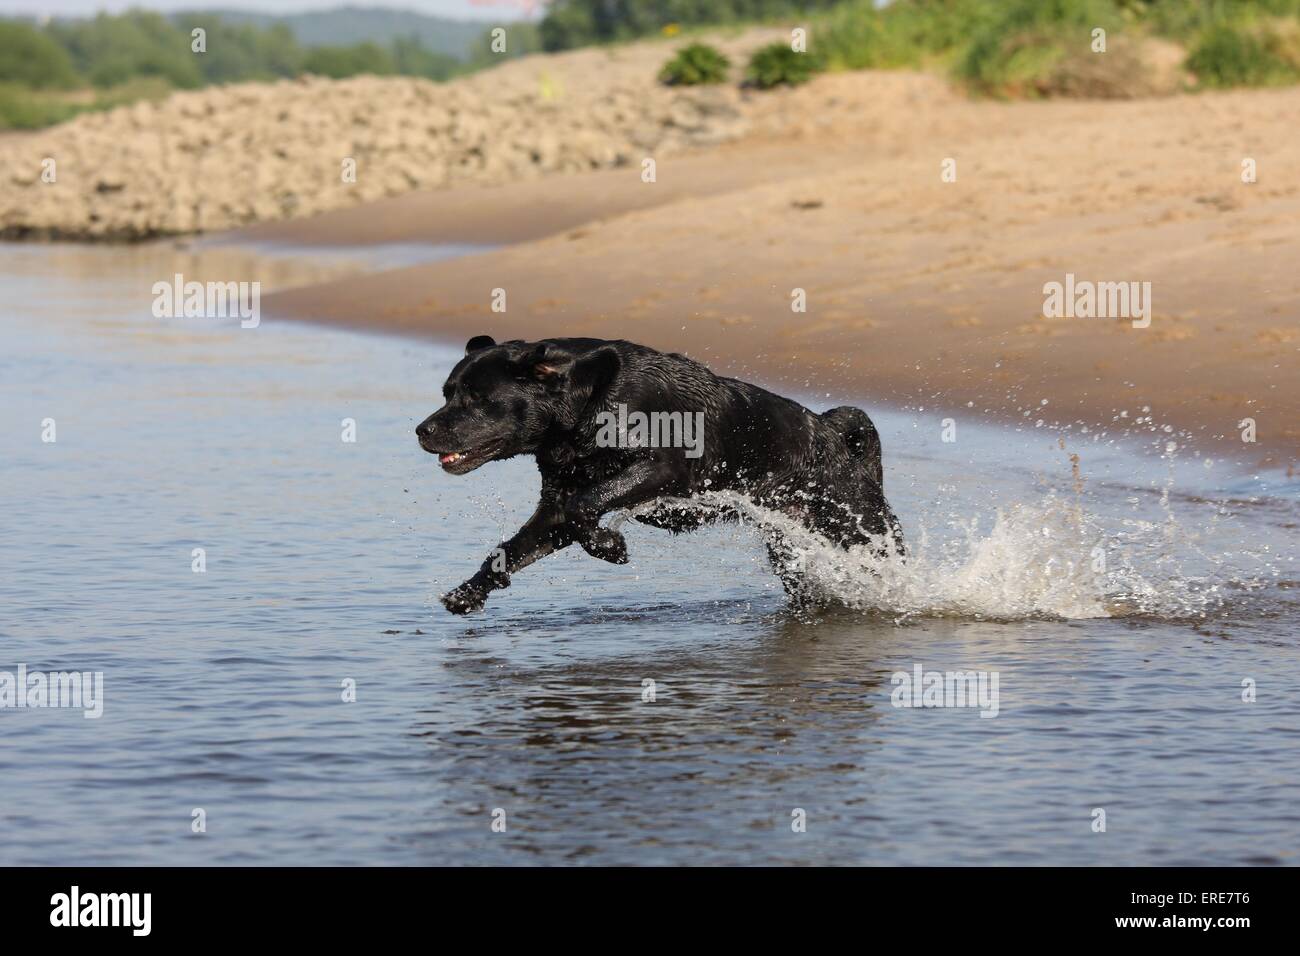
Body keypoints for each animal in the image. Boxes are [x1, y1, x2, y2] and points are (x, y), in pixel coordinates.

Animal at [416, 335, 904, 616]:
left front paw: (609, 546)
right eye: (447, 393)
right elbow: (515, 547)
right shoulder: (553, 509)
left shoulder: (662, 470)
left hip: (859, 530)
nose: (422, 430)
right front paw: (469, 592)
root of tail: (834, 436)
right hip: (792, 551)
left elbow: (586, 504)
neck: (588, 401)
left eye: (476, 398)